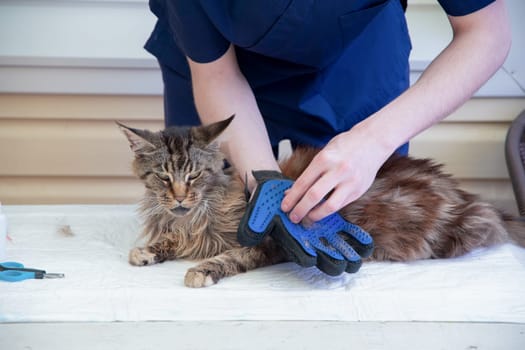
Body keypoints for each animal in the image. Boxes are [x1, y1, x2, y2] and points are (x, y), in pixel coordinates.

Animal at [117, 117, 524, 288]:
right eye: (164, 176)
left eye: (194, 175)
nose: (179, 196)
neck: (196, 214)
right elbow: (170, 241)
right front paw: (148, 250)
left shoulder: (264, 244)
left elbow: (228, 257)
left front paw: (202, 270)